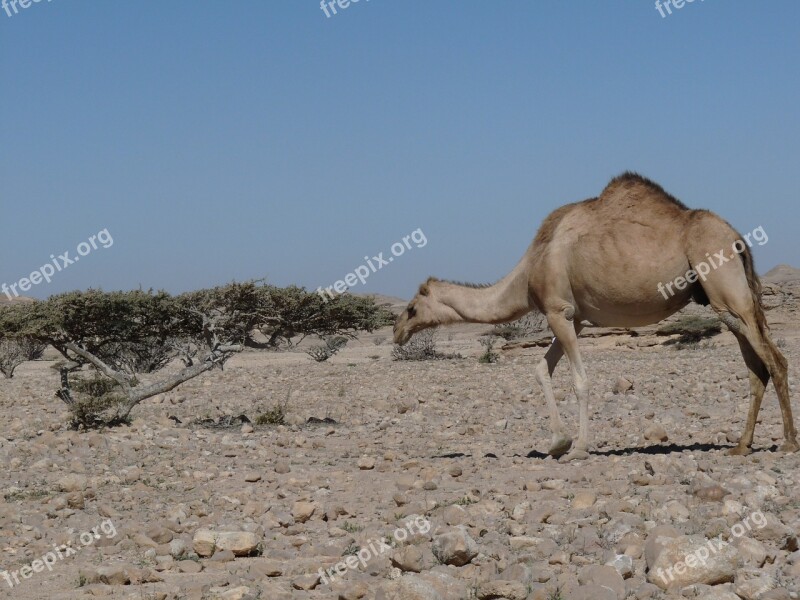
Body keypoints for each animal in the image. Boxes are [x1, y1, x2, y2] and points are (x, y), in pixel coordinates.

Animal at [396, 171, 800, 462]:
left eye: (412, 308)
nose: (398, 331)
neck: (528, 272)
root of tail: (737, 238)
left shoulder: (558, 310)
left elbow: (579, 381)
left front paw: (577, 447)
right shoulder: (572, 318)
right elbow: (540, 369)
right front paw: (557, 441)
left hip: (723, 284)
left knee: (774, 360)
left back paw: (788, 443)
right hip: (722, 300)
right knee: (756, 368)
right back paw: (741, 445)